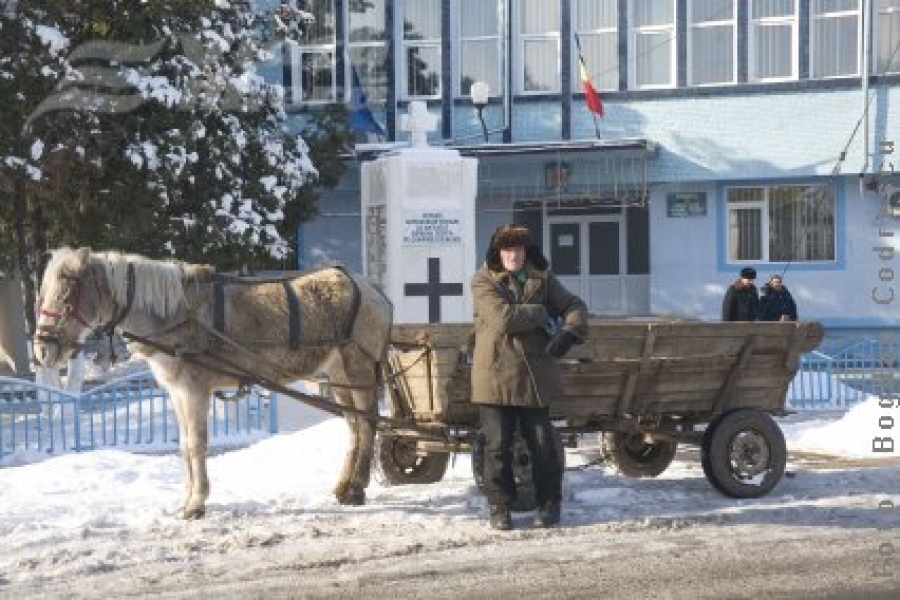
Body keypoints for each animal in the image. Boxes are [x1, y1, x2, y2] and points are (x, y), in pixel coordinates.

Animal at [33, 248, 392, 520]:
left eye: (67, 293)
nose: (42, 349)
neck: (177, 316)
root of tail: (372, 288)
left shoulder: (195, 391)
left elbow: (196, 444)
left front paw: (196, 503)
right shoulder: (177, 393)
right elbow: (183, 446)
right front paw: (187, 499)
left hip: (358, 367)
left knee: (368, 421)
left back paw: (357, 487)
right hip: (338, 374)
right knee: (354, 426)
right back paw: (344, 486)